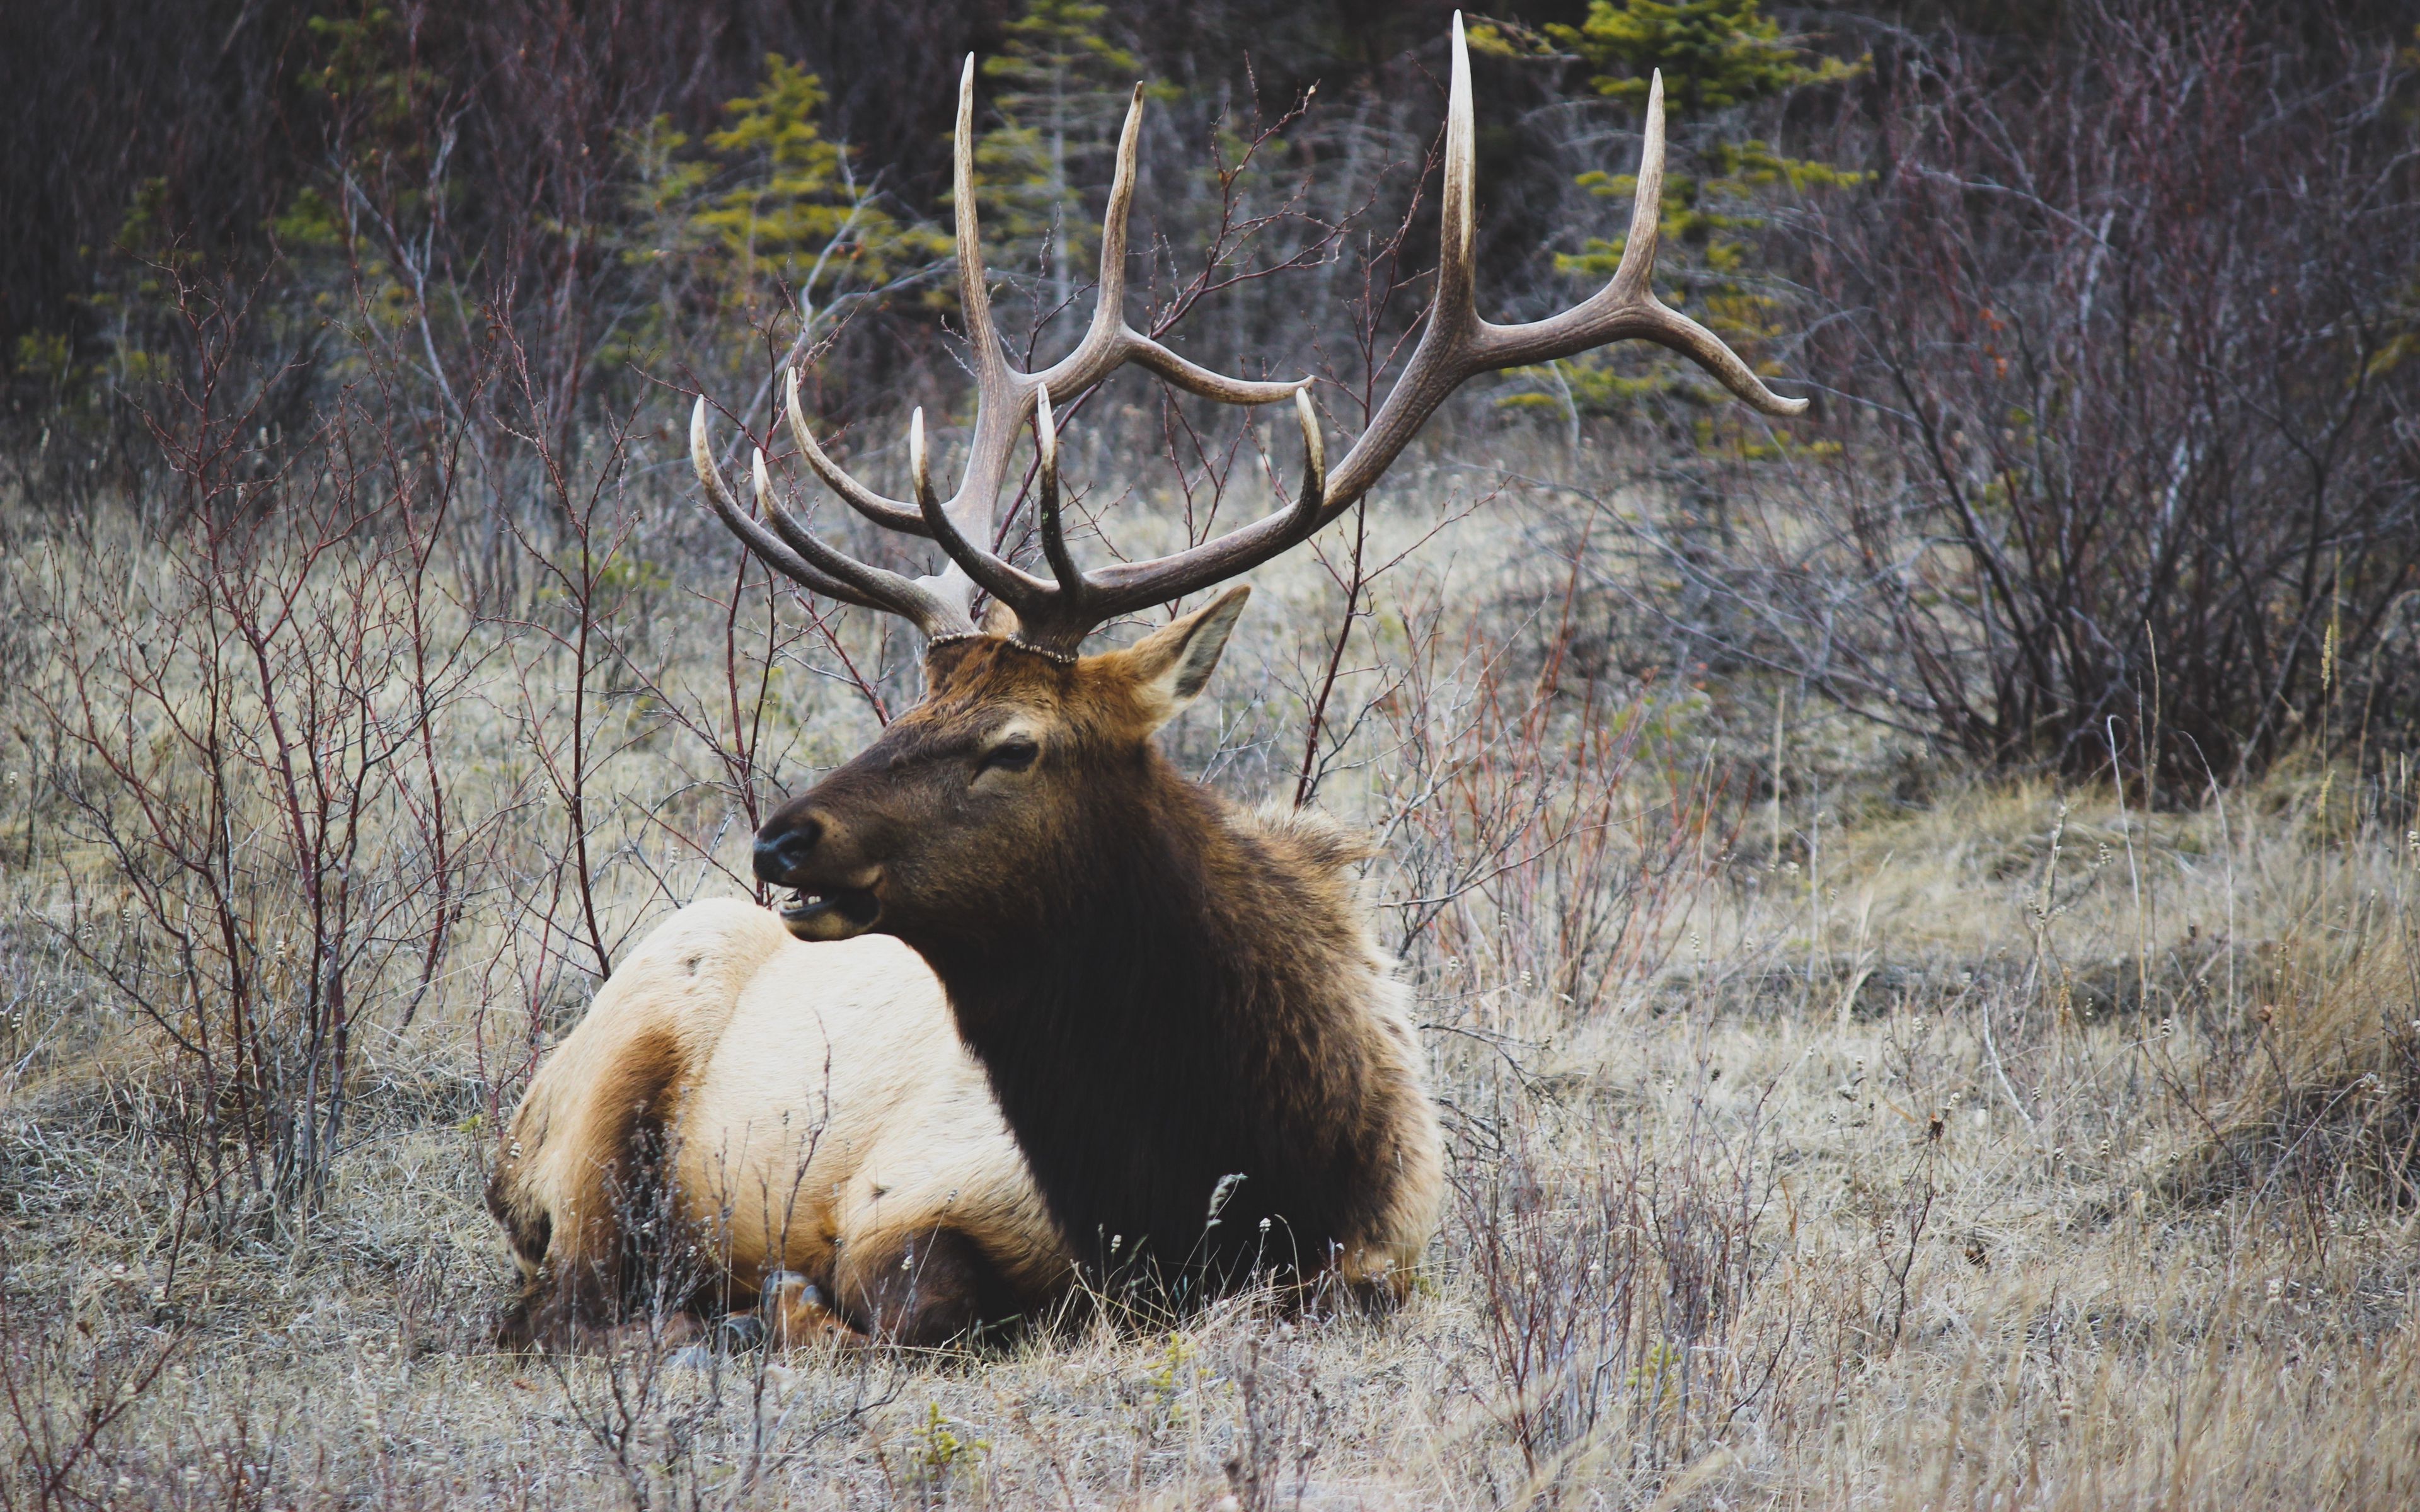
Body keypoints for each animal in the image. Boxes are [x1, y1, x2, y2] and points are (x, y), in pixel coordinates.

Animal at [491, 14, 1800, 1345]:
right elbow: (895, 1298)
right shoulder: (900, 1193)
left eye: (1014, 744)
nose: (782, 841)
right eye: (911, 706)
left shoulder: (1385, 1253)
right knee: (562, 1296)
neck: (1206, 1180)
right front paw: (785, 1304)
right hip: (600, 1114)